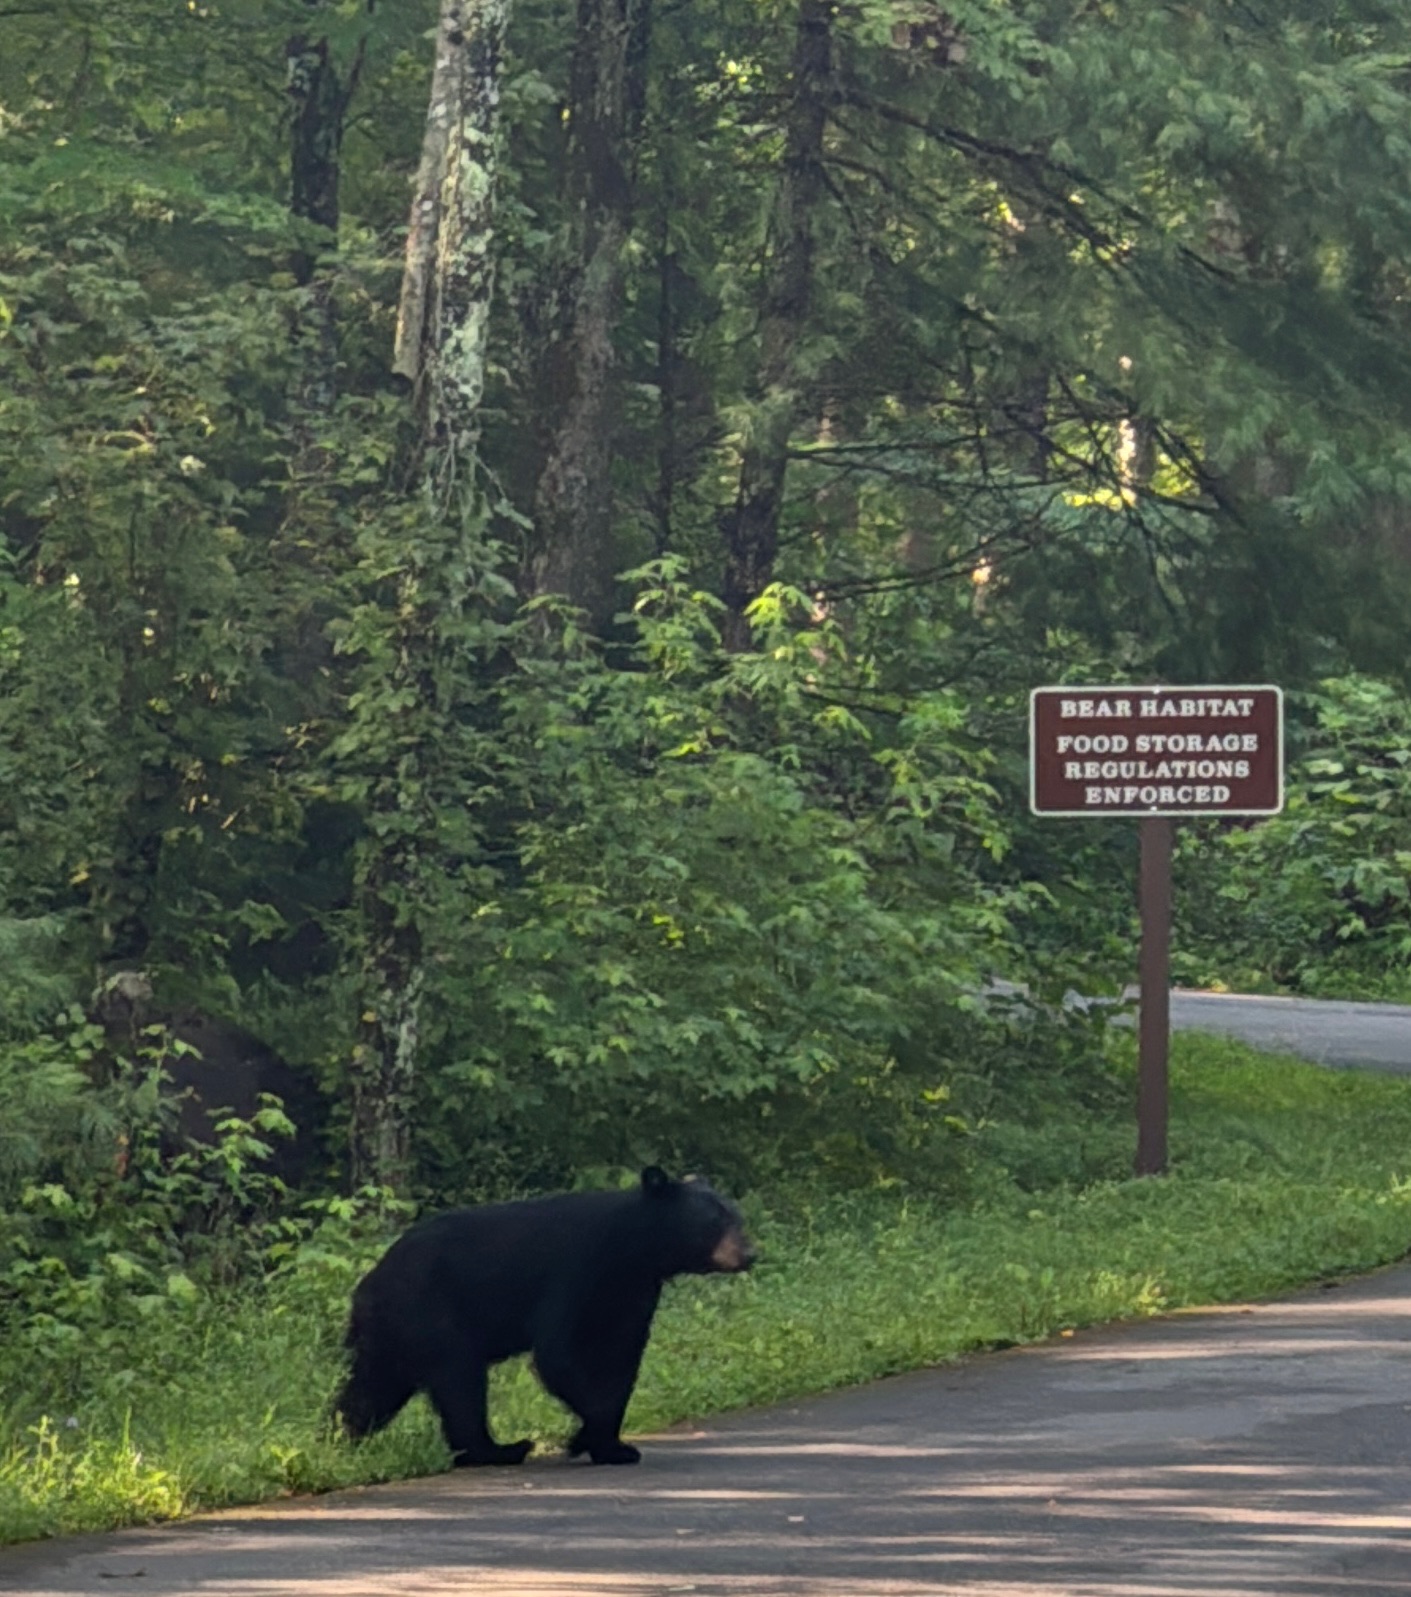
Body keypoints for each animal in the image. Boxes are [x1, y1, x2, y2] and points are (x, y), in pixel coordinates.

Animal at [336, 1167, 754, 1466]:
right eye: (715, 1221)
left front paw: (611, 1446)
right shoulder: (572, 1271)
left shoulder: (632, 1293)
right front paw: (587, 1437)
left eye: (737, 1216)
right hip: (430, 1315)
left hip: (392, 1336)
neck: (630, 1252)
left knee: (370, 1392)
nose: (750, 1253)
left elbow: (621, 1358)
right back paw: (501, 1450)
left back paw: (342, 1439)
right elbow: (560, 1353)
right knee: (460, 1381)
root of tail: (366, 1286)